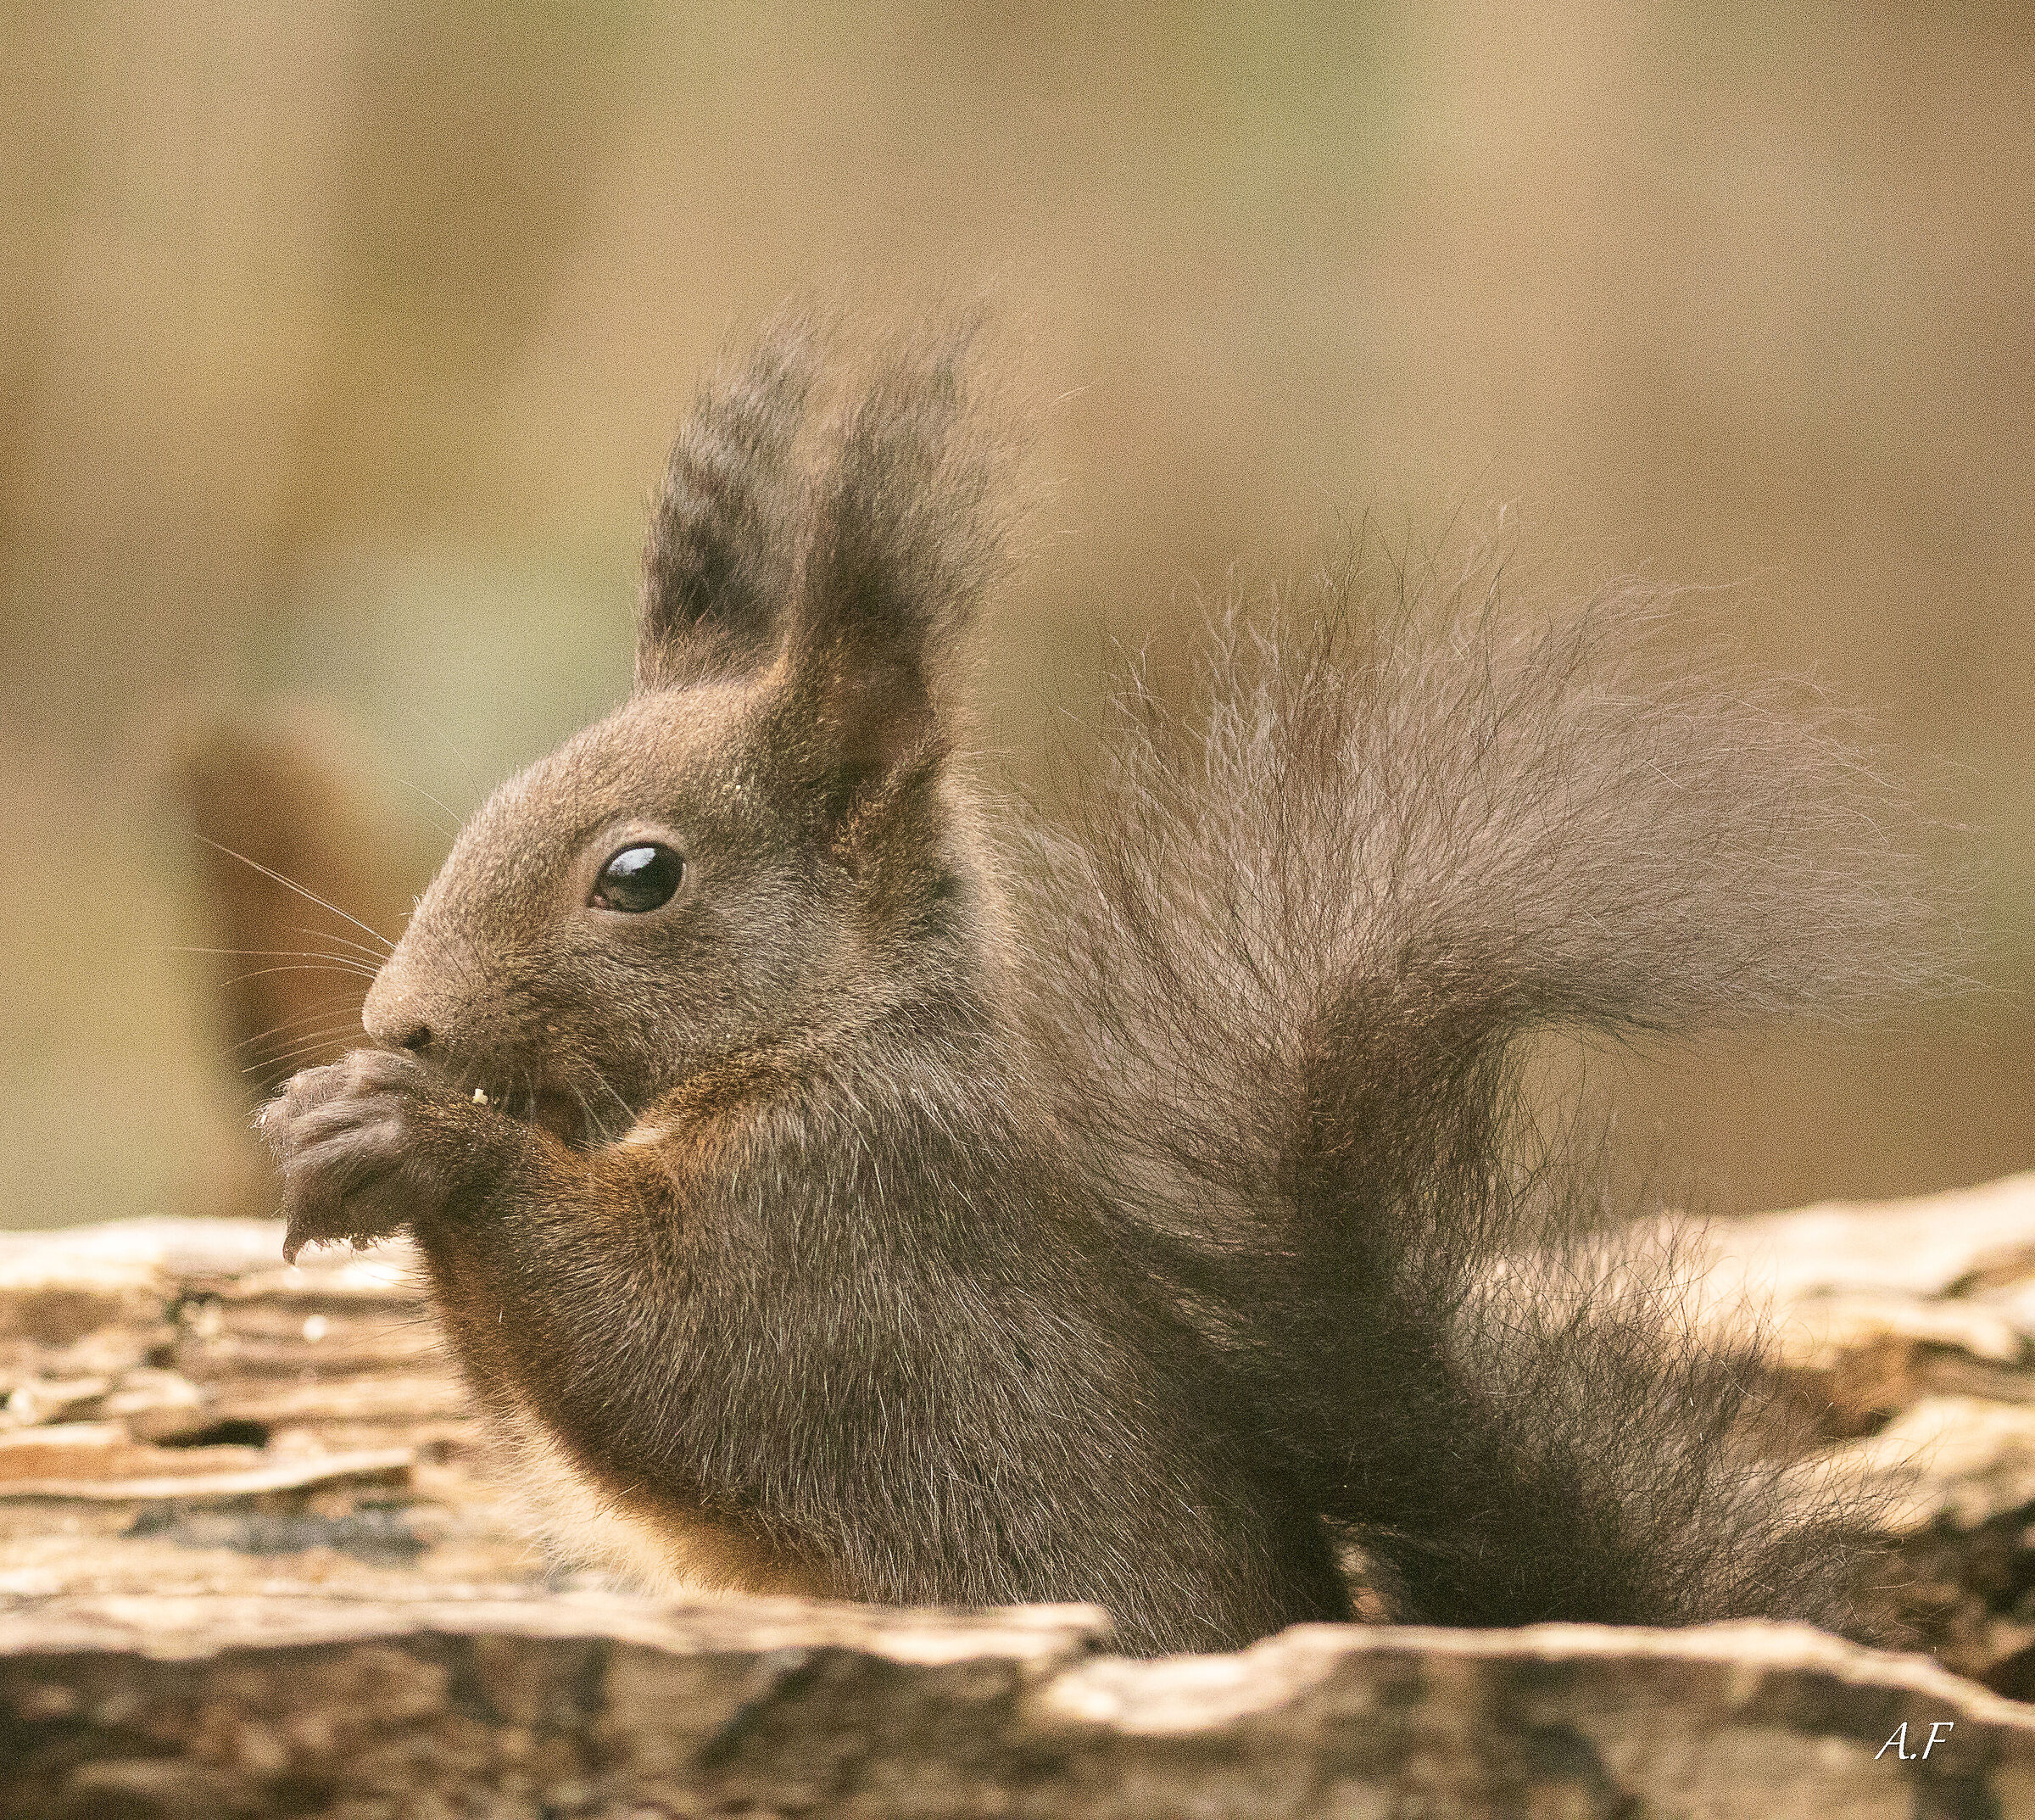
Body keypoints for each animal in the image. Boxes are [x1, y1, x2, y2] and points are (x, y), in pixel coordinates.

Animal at [259, 309, 1941, 1655]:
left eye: (639, 875)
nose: (401, 1020)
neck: (833, 1036)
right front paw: (328, 1112)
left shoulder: (842, 1235)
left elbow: (649, 1350)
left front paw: (421, 1132)